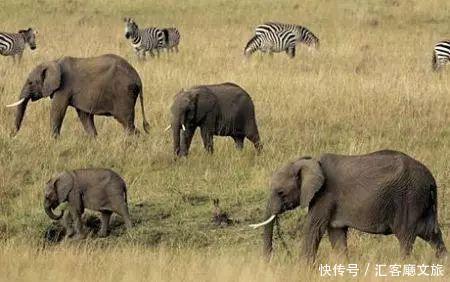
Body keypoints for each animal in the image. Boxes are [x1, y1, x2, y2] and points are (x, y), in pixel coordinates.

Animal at [5, 53, 149, 137]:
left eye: (30, 82)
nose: (11, 136)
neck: (54, 61)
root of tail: (138, 79)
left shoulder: (64, 88)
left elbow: (57, 111)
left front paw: (53, 141)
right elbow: (84, 116)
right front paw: (94, 140)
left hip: (123, 94)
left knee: (127, 123)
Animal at [250, 151, 446, 264]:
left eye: (280, 192)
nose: (268, 261)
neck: (308, 161)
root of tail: (431, 180)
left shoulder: (325, 195)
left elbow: (314, 228)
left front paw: (301, 270)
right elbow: (336, 233)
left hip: (409, 198)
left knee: (406, 237)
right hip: (422, 201)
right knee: (431, 233)